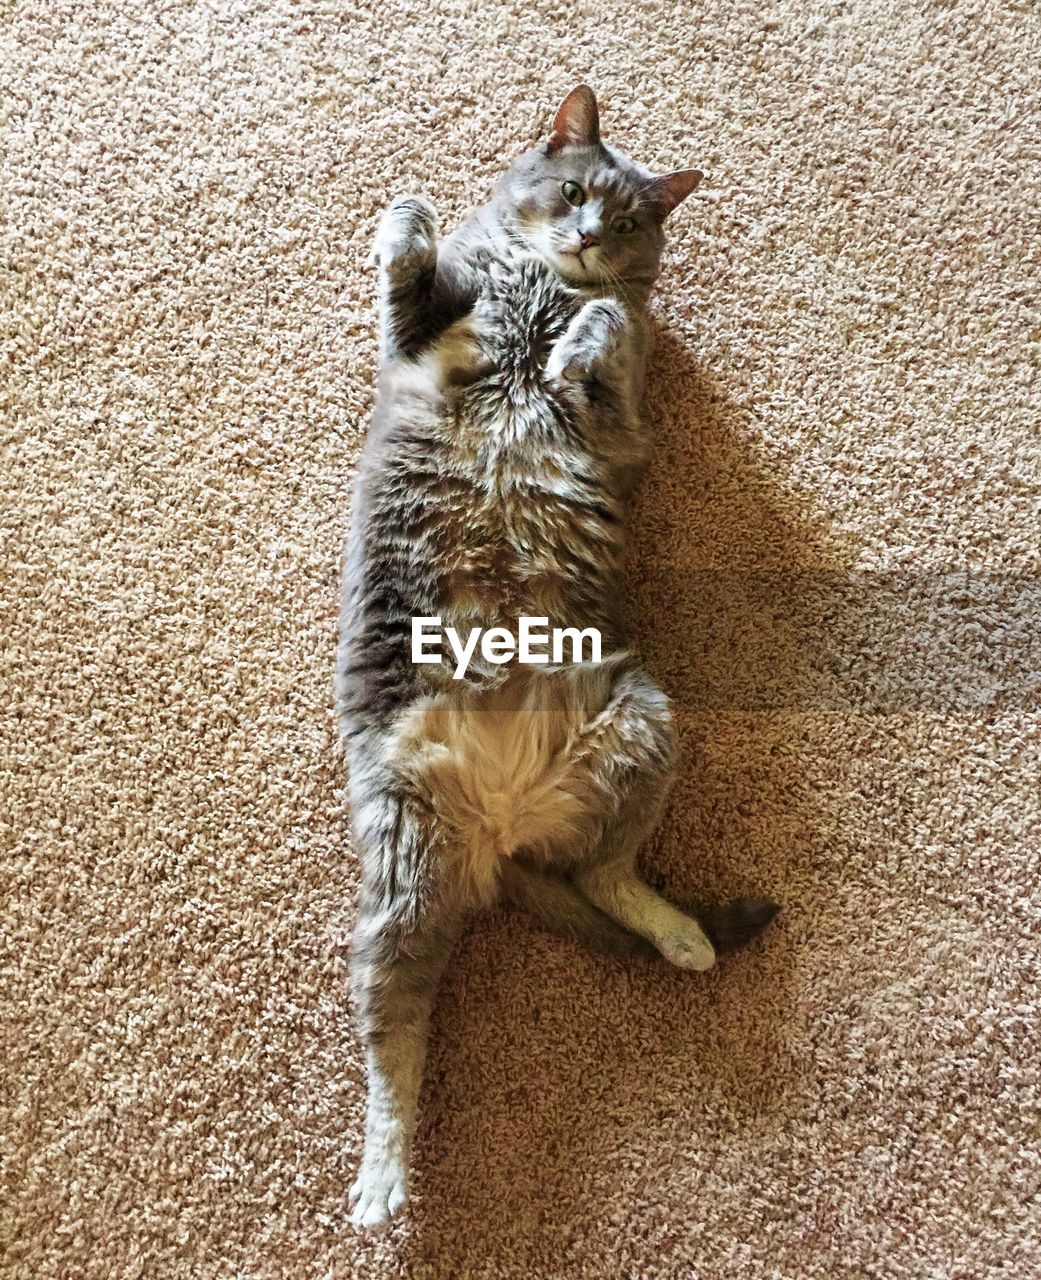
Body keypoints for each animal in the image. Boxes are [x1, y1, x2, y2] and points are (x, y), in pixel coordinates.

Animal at [338, 87, 773, 1228]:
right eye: (573, 190)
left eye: (622, 221)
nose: (583, 236)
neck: (538, 285)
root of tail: (501, 830)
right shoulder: (417, 334)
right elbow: (411, 264)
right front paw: (409, 214)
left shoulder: (626, 426)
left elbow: (611, 330)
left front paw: (583, 334)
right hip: (403, 868)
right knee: (395, 1050)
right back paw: (383, 1179)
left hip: (640, 725)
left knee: (610, 873)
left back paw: (683, 935)